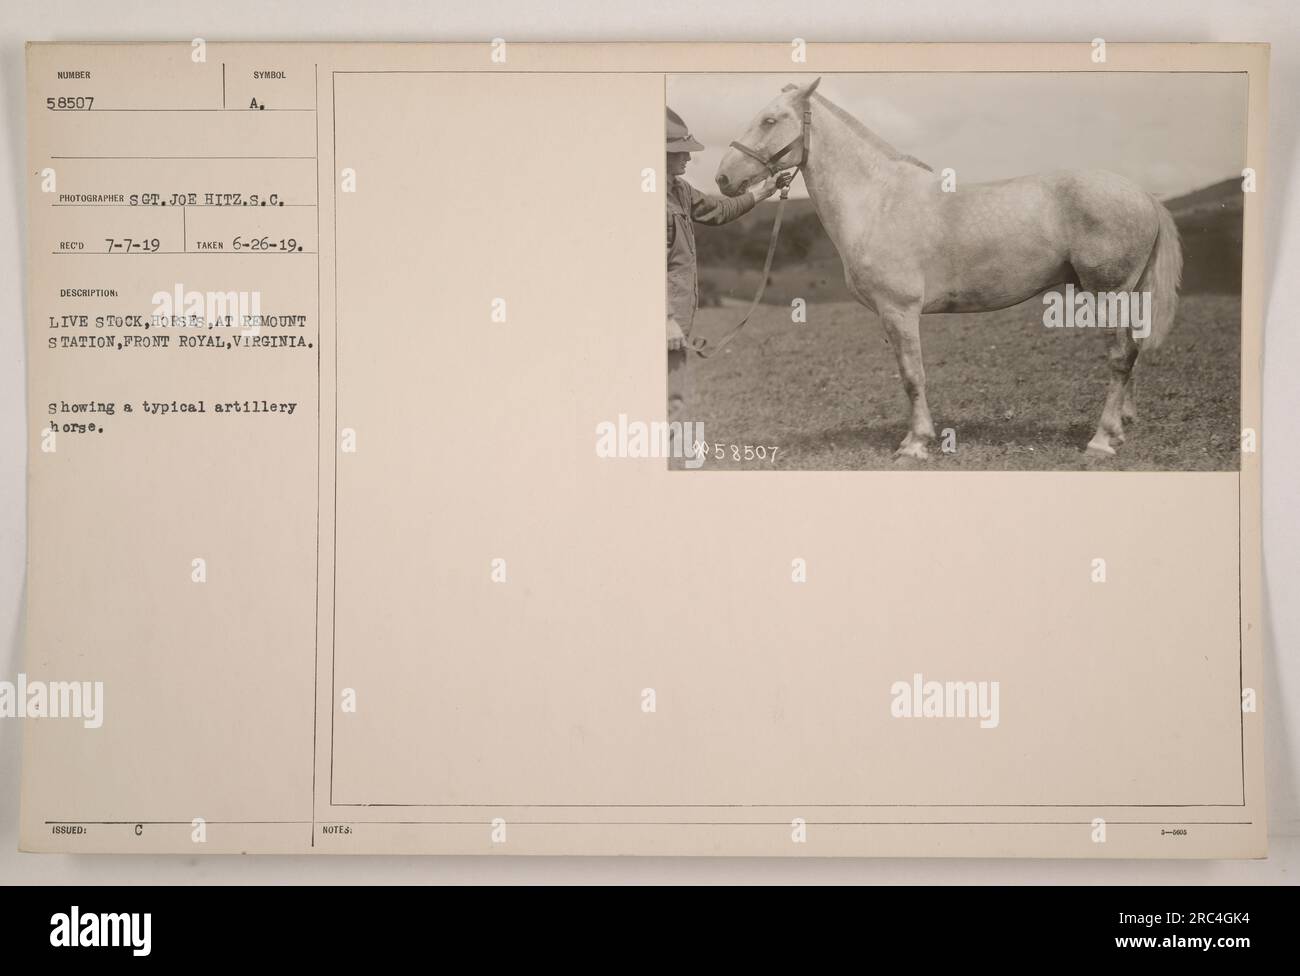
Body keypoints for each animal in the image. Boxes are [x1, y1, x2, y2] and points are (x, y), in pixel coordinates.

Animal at [714, 78, 1183, 459]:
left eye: (770, 119)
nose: (723, 179)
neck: (878, 200)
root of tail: (1143, 194)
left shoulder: (899, 311)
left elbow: (912, 376)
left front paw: (916, 444)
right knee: (1131, 353)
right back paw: (1119, 429)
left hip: (1108, 293)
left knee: (1121, 357)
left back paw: (1101, 440)